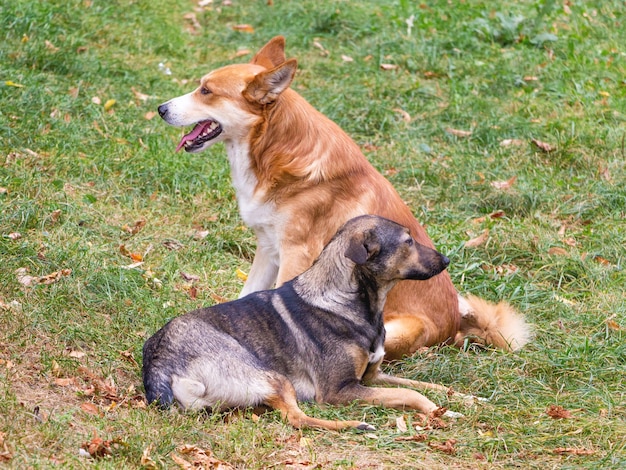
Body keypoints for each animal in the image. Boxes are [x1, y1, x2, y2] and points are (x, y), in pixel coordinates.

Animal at [141, 215, 464, 432]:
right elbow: (412, 393)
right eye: (408, 242)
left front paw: (465, 398)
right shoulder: (340, 391)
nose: (447, 260)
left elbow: (426, 385)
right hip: (271, 375)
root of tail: (158, 365)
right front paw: (440, 413)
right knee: (296, 419)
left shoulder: (373, 377)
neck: (345, 299)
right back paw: (354, 426)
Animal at [156, 35, 528, 360]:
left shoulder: (296, 255)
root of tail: (454, 331)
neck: (274, 149)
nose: (160, 108)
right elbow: (247, 297)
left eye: (206, 91)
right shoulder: (268, 249)